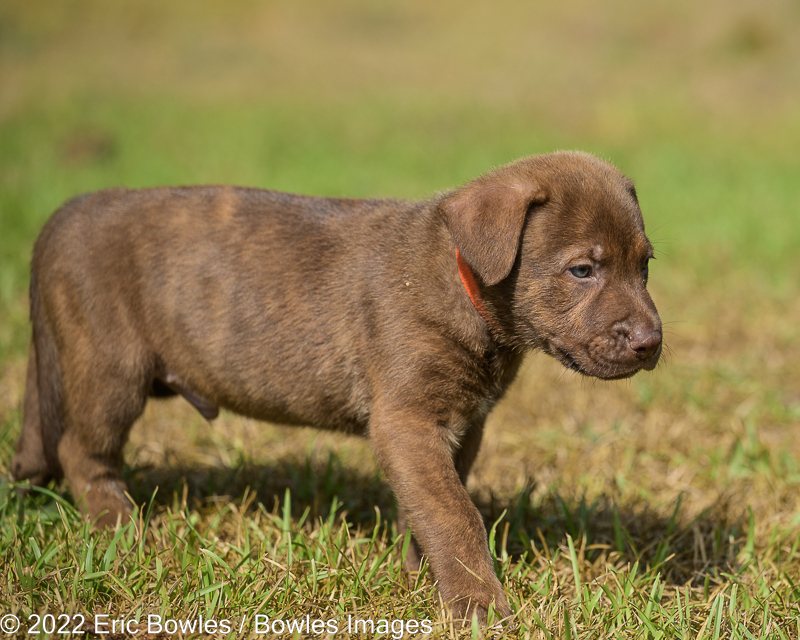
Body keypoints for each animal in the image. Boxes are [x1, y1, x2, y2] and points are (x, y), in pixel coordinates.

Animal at [10, 152, 664, 624]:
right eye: (582, 270)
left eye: (645, 265)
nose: (651, 341)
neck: (462, 282)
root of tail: (64, 216)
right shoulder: (407, 420)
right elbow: (456, 513)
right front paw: (479, 606)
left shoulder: (463, 424)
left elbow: (429, 505)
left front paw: (418, 576)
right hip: (109, 368)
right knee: (82, 451)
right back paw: (120, 529)